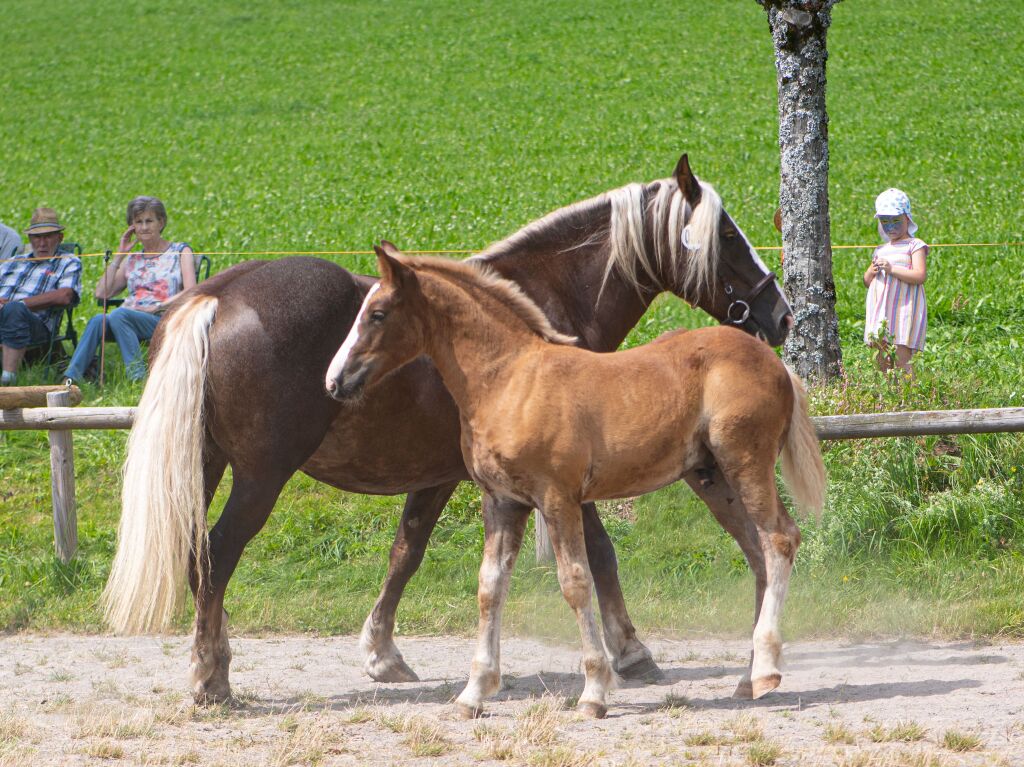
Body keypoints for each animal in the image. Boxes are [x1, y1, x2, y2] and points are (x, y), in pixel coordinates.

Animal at [327, 245, 823, 716]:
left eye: (377, 313)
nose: (335, 381)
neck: (509, 381)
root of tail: (776, 363)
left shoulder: (557, 498)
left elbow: (575, 582)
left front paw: (594, 692)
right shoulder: (502, 501)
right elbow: (490, 587)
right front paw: (474, 694)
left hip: (746, 462)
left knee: (780, 538)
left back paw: (766, 670)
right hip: (712, 476)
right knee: (758, 553)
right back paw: (748, 679)